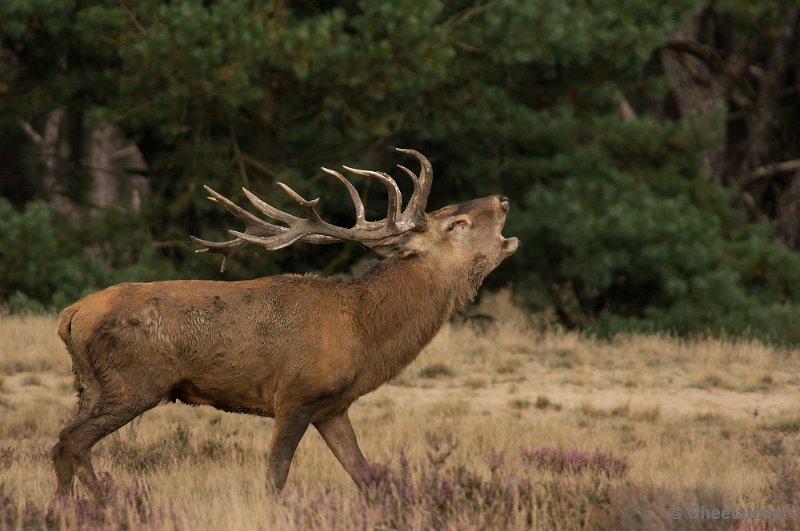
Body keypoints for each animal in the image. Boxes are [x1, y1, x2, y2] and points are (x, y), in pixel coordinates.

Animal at [53, 149, 520, 494]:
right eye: (455, 222)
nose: (502, 199)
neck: (364, 332)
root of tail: (71, 315)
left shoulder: (333, 407)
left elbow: (365, 476)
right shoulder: (296, 393)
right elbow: (275, 478)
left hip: (91, 385)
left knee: (61, 444)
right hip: (133, 382)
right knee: (73, 442)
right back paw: (104, 503)